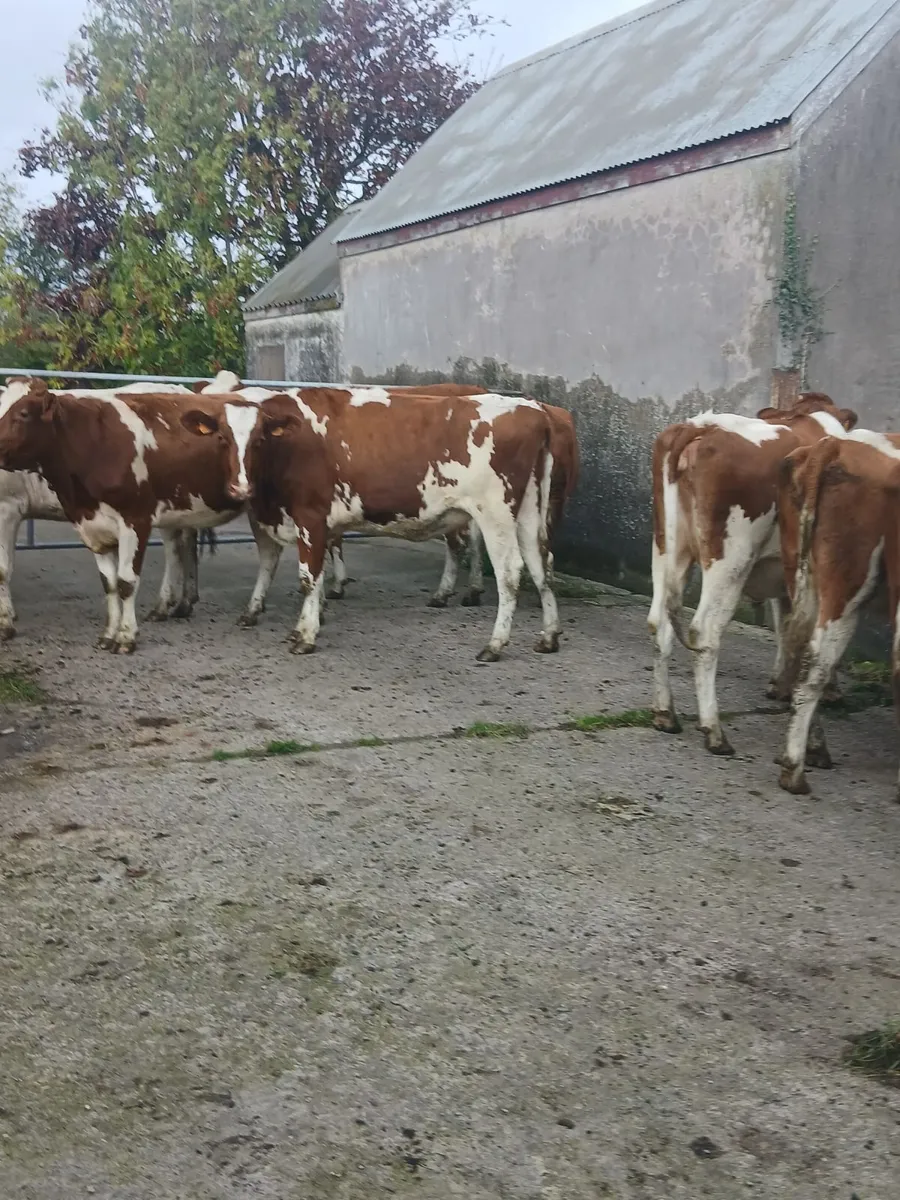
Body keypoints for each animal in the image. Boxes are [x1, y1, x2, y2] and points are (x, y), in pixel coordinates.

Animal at [0, 381, 258, 652]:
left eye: (23, 414)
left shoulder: (135, 521)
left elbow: (126, 582)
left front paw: (126, 636)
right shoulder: (92, 525)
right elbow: (110, 583)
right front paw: (108, 634)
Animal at [225, 386, 560, 661]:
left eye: (258, 440)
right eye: (223, 439)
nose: (240, 487)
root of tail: (532, 408)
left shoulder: (310, 516)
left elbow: (308, 578)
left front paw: (305, 637)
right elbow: (316, 577)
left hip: (495, 512)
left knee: (510, 572)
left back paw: (495, 644)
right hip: (529, 509)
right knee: (541, 564)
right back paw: (549, 636)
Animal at [648, 394, 857, 755]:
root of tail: (702, 426)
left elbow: (787, 632)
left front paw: (781, 687)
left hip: (668, 549)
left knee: (660, 622)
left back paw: (666, 714)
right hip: (730, 561)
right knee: (704, 631)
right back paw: (715, 732)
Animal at [776, 429, 900, 796]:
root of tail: (837, 444)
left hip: (802, 572)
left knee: (801, 649)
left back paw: (813, 750)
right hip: (848, 584)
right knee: (819, 662)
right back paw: (795, 771)